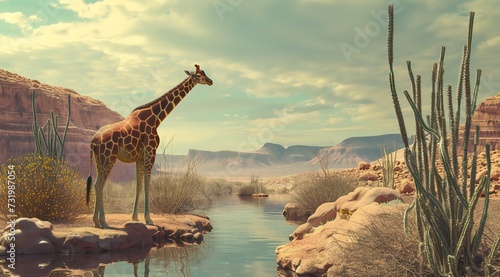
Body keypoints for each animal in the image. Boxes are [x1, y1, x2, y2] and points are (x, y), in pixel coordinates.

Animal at [87, 64, 212, 226]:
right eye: (199, 75)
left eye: (204, 73)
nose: (210, 81)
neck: (156, 118)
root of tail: (93, 140)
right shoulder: (150, 152)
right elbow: (147, 185)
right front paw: (148, 218)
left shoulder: (139, 157)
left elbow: (139, 186)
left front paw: (135, 217)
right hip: (109, 157)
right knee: (100, 184)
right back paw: (103, 221)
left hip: (99, 158)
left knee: (97, 184)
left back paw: (96, 221)